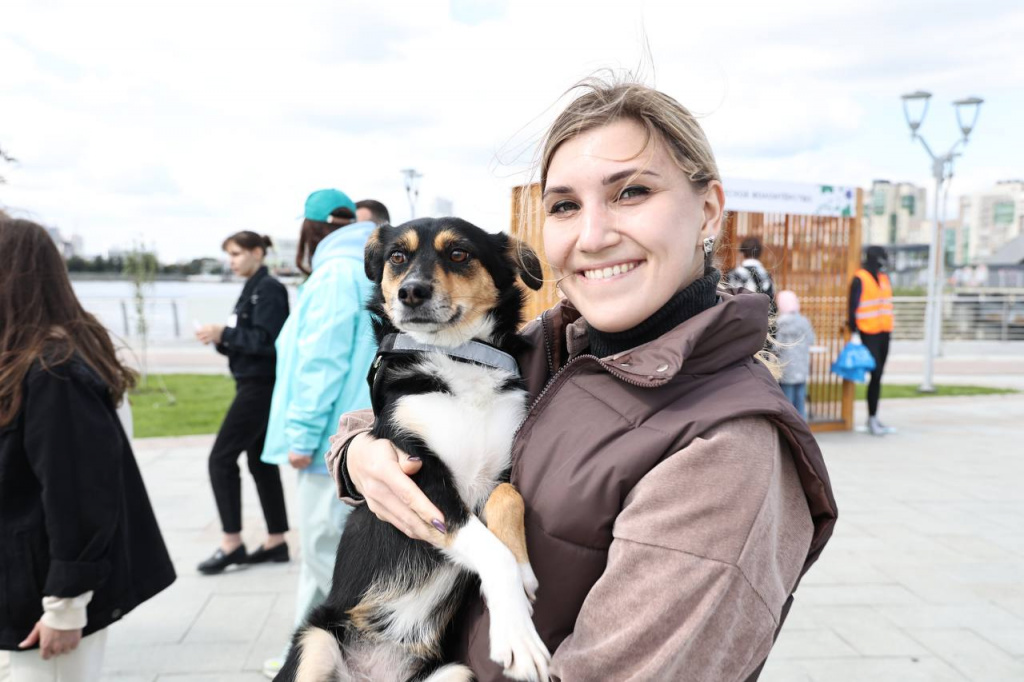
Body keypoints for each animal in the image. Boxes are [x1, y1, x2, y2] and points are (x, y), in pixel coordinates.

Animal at [276, 218, 552, 679]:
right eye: (397, 257)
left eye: (459, 253)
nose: (411, 292)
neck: (458, 358)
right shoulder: (421, 476)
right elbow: (492, 554)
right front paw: (519, 637)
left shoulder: (499, 470)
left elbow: (508, 498)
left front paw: (526, 568)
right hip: (316, 642)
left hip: (454, 672)